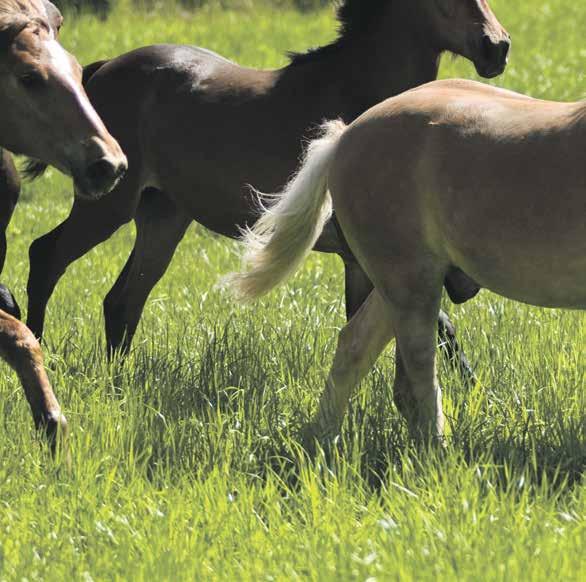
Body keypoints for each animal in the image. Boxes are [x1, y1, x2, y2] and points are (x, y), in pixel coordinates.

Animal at [22, 0, 506, 378]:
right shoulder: (372, 255)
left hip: (163, 218)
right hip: (107, 207)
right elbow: (436, 327)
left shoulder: (359, 261)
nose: (497, 47)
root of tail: (100, 70)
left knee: (122, 301)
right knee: (45, 257)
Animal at [229, 80, 584, 448]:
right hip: (411, 284)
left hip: (396, 287)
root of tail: (345, 137)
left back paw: (323, 440)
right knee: (419, 368)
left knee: (354, 346)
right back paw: (437, 450)